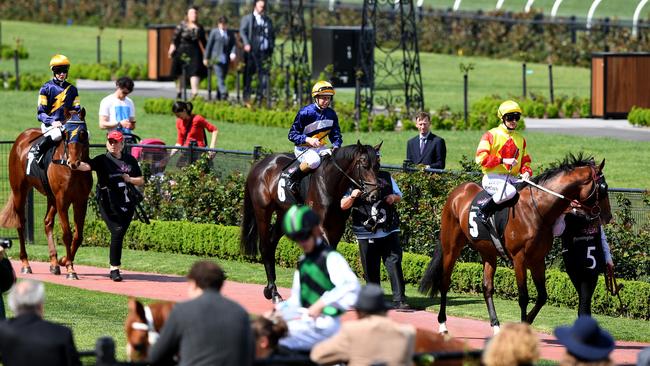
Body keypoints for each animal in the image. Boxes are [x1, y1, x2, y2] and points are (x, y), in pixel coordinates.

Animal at [0, 108, 92, 280]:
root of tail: (22, 138)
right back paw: (26, 264)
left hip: (51, 196)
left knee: (47, 222)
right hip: (20, 191)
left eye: (82, 133)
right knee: (21, 223)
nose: (74, 162)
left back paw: (54, 263)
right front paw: (70, 269)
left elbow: (78, 236)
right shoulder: (62, 200)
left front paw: (63, 261)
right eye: (66, 134)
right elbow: (67, 234)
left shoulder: (80, 201)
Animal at [239, 142, 380, 302]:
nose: (374, 195)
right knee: (264, 246)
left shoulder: (338, 227)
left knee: (271, 243)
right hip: (262, 211)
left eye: (377, 165)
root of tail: (260, 163)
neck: (330, 183)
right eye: (364, 164)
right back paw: (273, 292)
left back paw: (270, 289)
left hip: (283, 213)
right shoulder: (319, 225)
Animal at [418, 154, 612, 334]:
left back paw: (496, 326)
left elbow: (542, 296)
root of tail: (458, 191)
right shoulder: (519, 259)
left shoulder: (537, 259)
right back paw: (442, 324)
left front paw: (526, 323)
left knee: (487, 287)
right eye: (604, 188)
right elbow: (523, 297)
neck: (536, 209)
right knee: (444, 282)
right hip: (451, 247)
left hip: (488, 252)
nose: (608, 216)